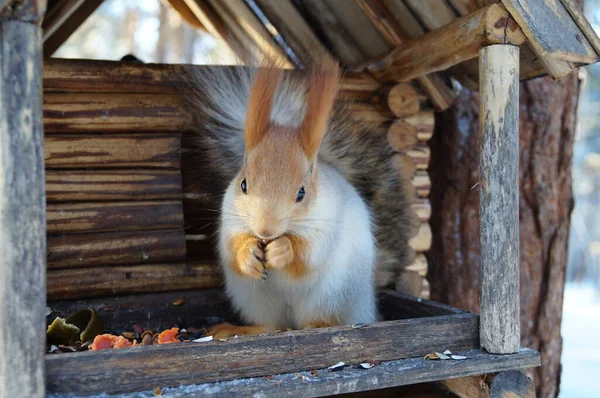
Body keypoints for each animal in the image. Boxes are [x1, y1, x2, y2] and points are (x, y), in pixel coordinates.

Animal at [180, 54, 412, 338]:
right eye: (243, 184)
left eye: (301, 193)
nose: (265, 230)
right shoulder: (230, 220)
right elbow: (232, 247)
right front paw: (247, 252)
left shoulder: (326, 226)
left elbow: (307, 257)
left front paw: (283, 249)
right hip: (255, 297)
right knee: (270, 324)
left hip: (332, 295)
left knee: (324, 317)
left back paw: (320, 325)